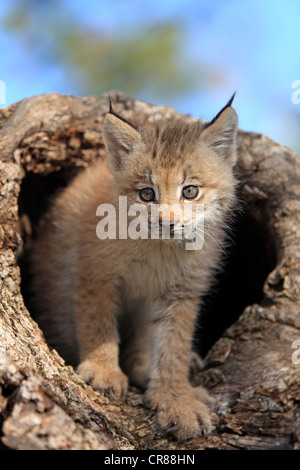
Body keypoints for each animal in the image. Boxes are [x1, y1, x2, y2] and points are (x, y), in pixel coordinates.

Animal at [31, 95, 239, 440]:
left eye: (190, 191)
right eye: (146, 194)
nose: (168, 223)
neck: (159, 249)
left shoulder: (182, 292)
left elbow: (173, 347)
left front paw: (176, 399)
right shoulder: (95, 272)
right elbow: (98, 323)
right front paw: (103, 371)